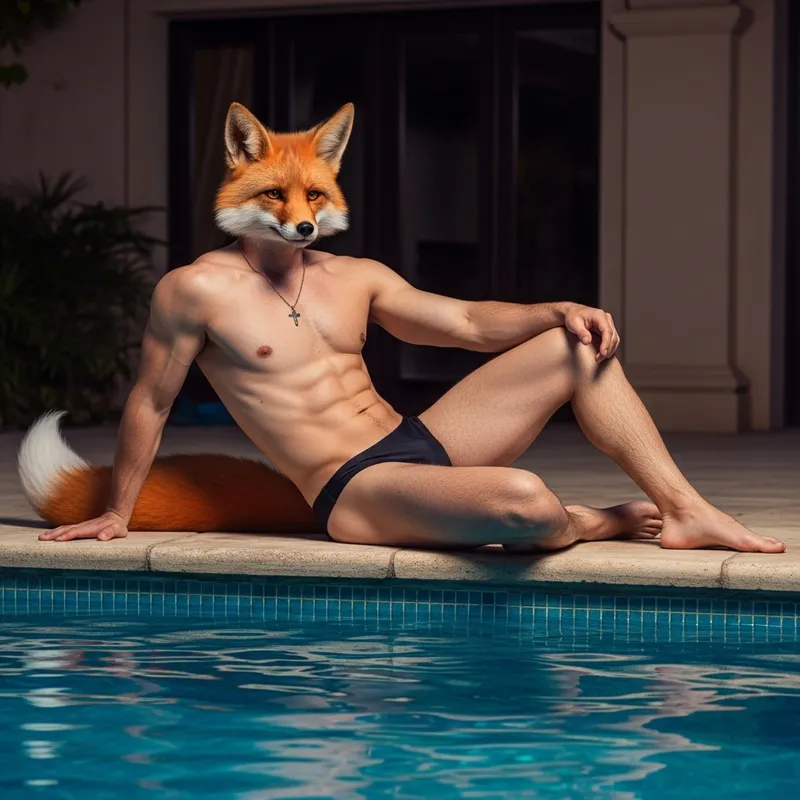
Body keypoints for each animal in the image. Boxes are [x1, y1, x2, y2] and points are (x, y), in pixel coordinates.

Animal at [17, 102, 356, 533]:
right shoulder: (175, 296)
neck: (274, 272)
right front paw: (113, 517)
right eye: (274, 194)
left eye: (313, 195)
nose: (305, 228)